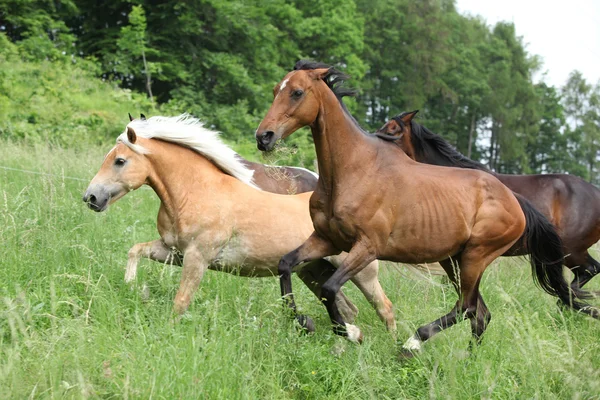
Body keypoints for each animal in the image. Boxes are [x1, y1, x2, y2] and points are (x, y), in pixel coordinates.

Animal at [82, 114, 396, 332]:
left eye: (120, 161)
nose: (91, 197)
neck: (195, 191)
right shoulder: (173, 251)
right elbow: (135, 250)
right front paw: (130, 286)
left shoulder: (197, 258)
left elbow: (180, 302)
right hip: (313, 270)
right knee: (347, 308)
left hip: (361, 271)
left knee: (385, 308)